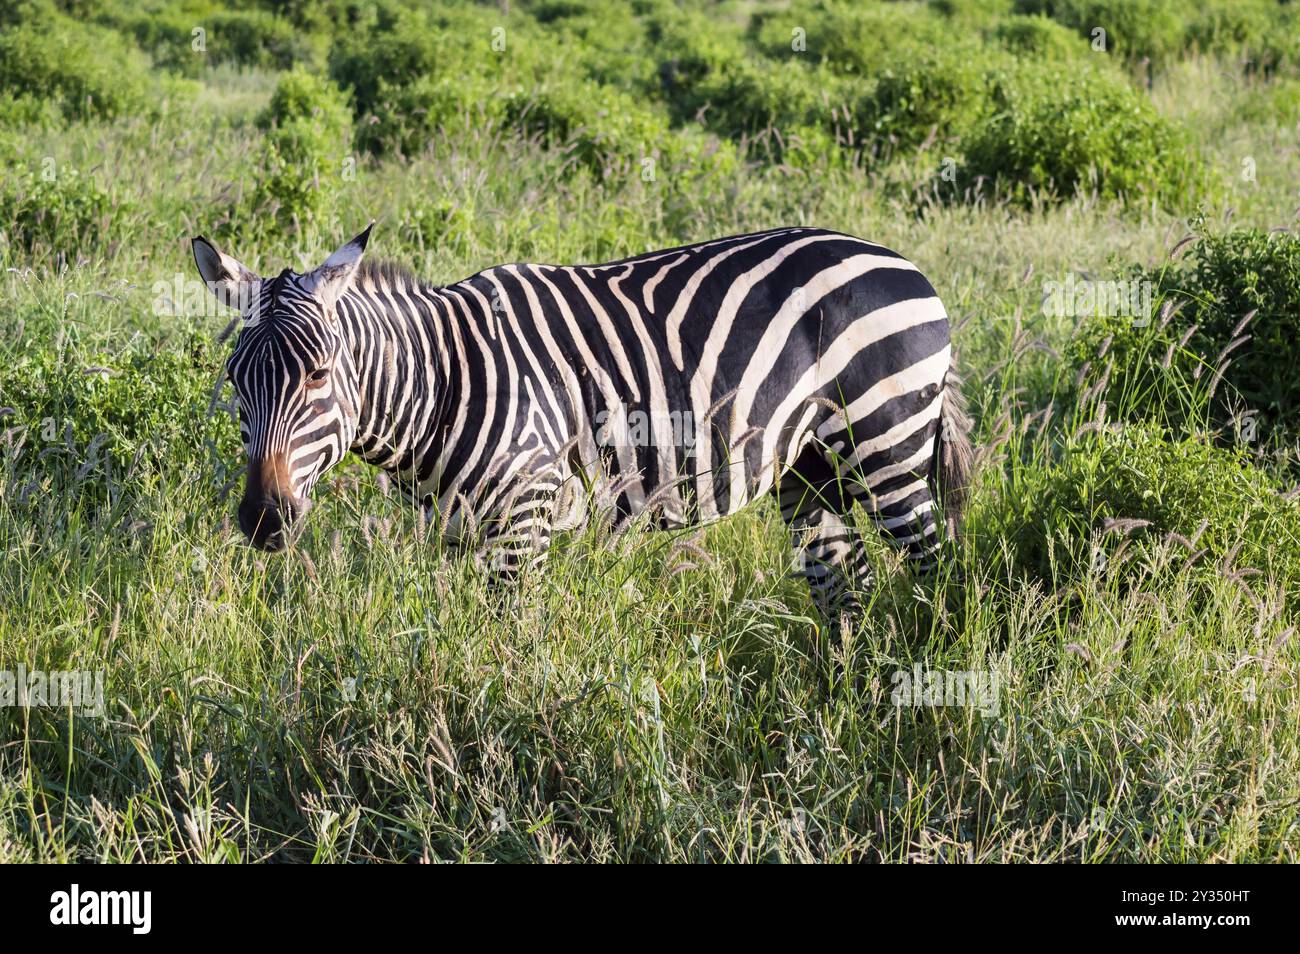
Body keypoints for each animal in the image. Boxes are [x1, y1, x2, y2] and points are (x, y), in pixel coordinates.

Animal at [192, 224, 973, 618]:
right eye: (234, 382)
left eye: (318, 375)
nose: (263, 520)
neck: (444, 380)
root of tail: (901, 260)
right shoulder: (458, 531)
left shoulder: (525, 515)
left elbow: (511, 642)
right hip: (809, 466)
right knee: (846, 583)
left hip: (888, 443)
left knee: (934, 566)